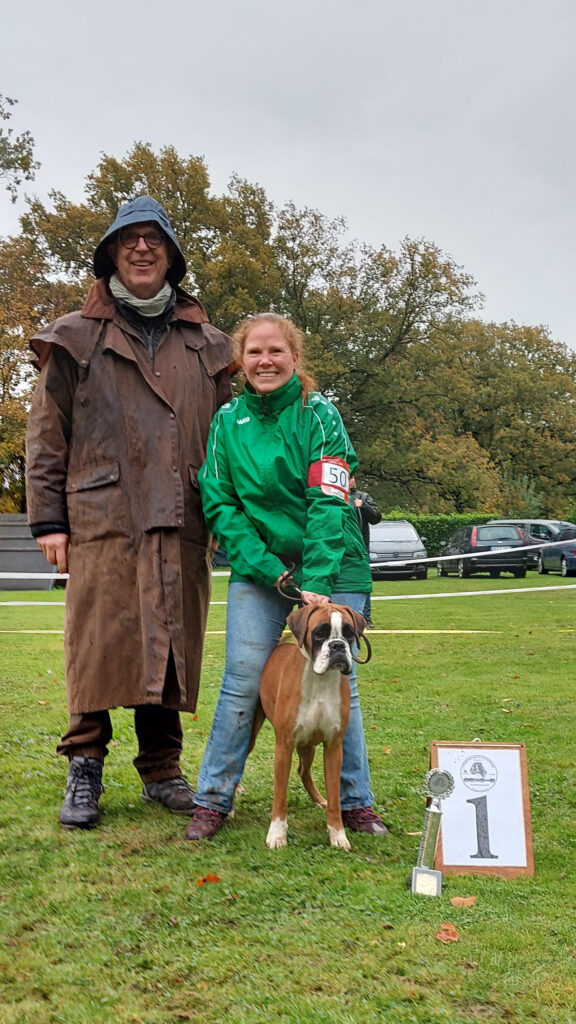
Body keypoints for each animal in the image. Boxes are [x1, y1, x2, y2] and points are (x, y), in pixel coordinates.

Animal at [252, 602, 364, 851]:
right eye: (319, 633)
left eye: (349, 633)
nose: (337, 646)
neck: (320, 680)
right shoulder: (284, 747)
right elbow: (280, 795)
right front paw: (277, 834)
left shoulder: (333, 748)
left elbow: (335, 797)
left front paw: (337, 834)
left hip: (308, 745)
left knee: (303, 771)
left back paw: (319, 799)